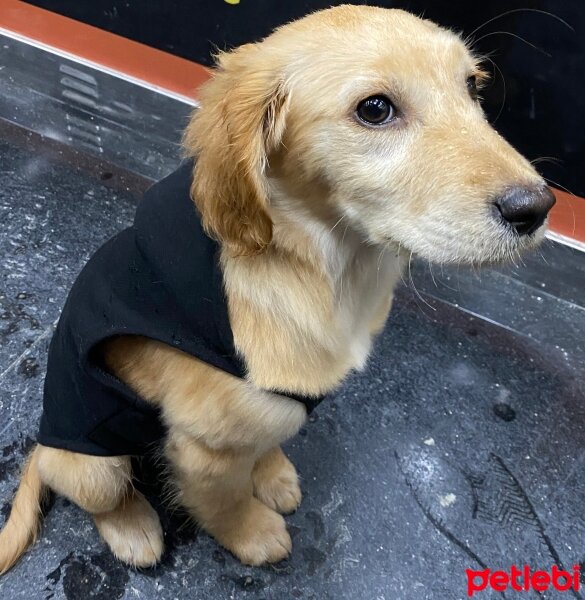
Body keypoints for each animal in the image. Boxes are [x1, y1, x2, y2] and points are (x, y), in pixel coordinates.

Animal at [0, 4, 552, 572]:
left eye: (473, 87)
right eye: (375, 109)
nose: (537, 208)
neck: (325, 269)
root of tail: (41, 441)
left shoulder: (284, 401)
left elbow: (266, 440)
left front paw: (271, 472)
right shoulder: (205, 447)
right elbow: (222, 499)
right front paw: (252, 533)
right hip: (94, 464)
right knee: (98, 495)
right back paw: (134, 529)